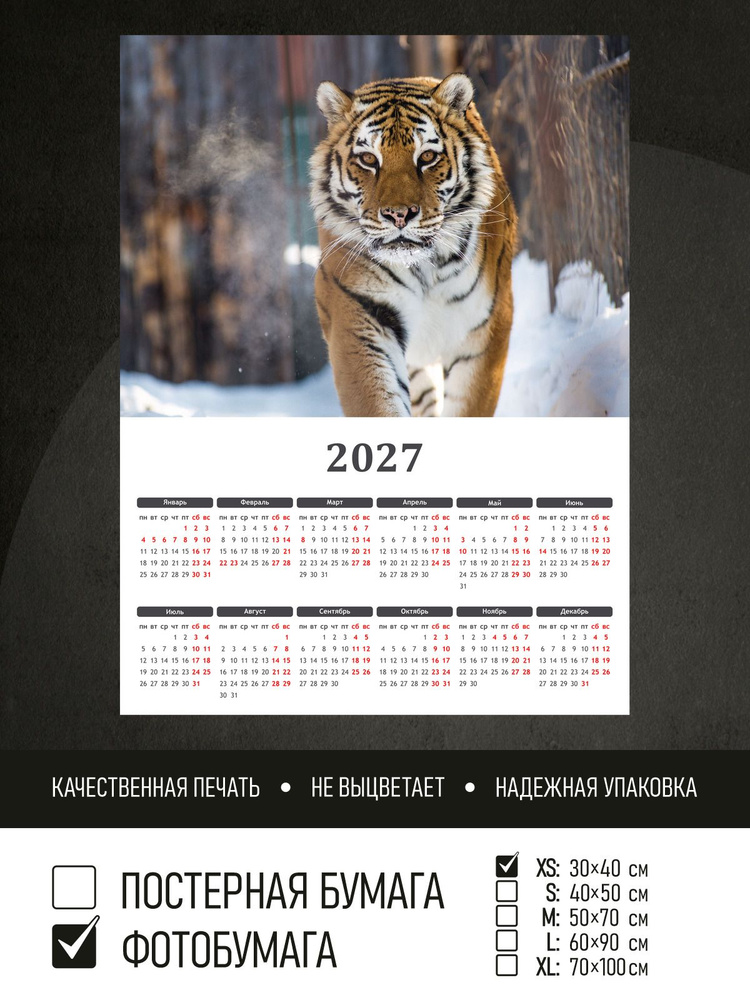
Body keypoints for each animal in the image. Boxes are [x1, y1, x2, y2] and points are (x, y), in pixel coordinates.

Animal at [310, 72, 517, 417]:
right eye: (368, 159)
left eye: (428, 157)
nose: (399, 214)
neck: (424, 268)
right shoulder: (360, 315)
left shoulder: (484, 329)